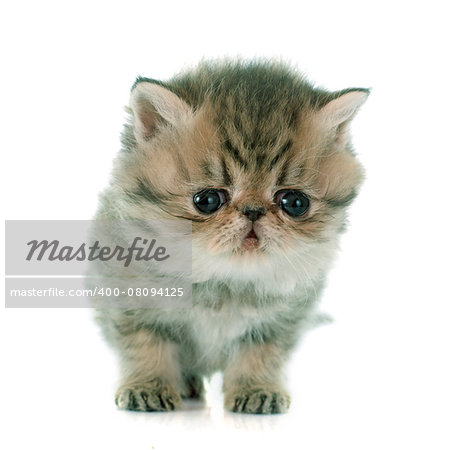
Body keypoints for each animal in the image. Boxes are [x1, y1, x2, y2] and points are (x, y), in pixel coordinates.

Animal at [93, 59, 368, 414]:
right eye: (207, 200)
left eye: (295, 203)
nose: (252, 211)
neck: (223, 281)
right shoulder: (132, 305)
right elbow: (145, 348)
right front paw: (148, 386)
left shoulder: (279, 322)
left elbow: (260, 355)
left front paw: (257, 390)